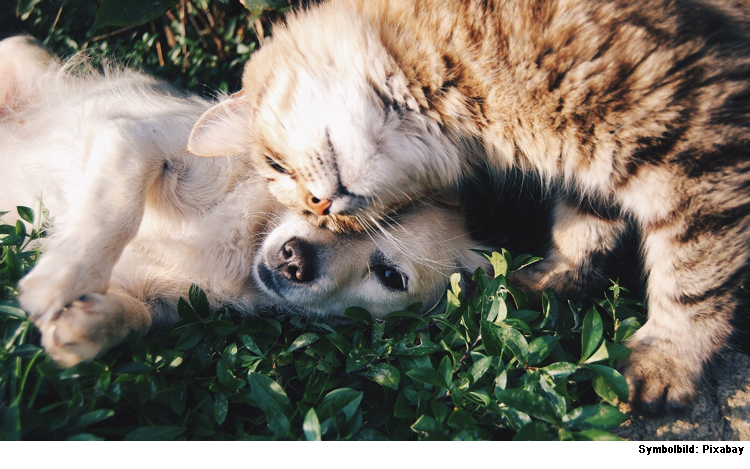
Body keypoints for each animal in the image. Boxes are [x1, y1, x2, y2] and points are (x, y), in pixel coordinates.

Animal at [0, 35, 494, 366]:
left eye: (390, 276)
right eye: (319, 202)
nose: (296, 259)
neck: (245, 240)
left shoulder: (163, 300)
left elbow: (136, 317)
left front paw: (86, 325)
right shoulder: (135, 140)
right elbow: (113, 212)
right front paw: (60, 279)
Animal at [189, 0, 750, 410]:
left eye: (275, 165)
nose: (320, 207)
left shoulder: (695, 145)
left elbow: (693, 280)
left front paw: (666, 360)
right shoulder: (596, 166)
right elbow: (582, 229)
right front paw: (550, 281)